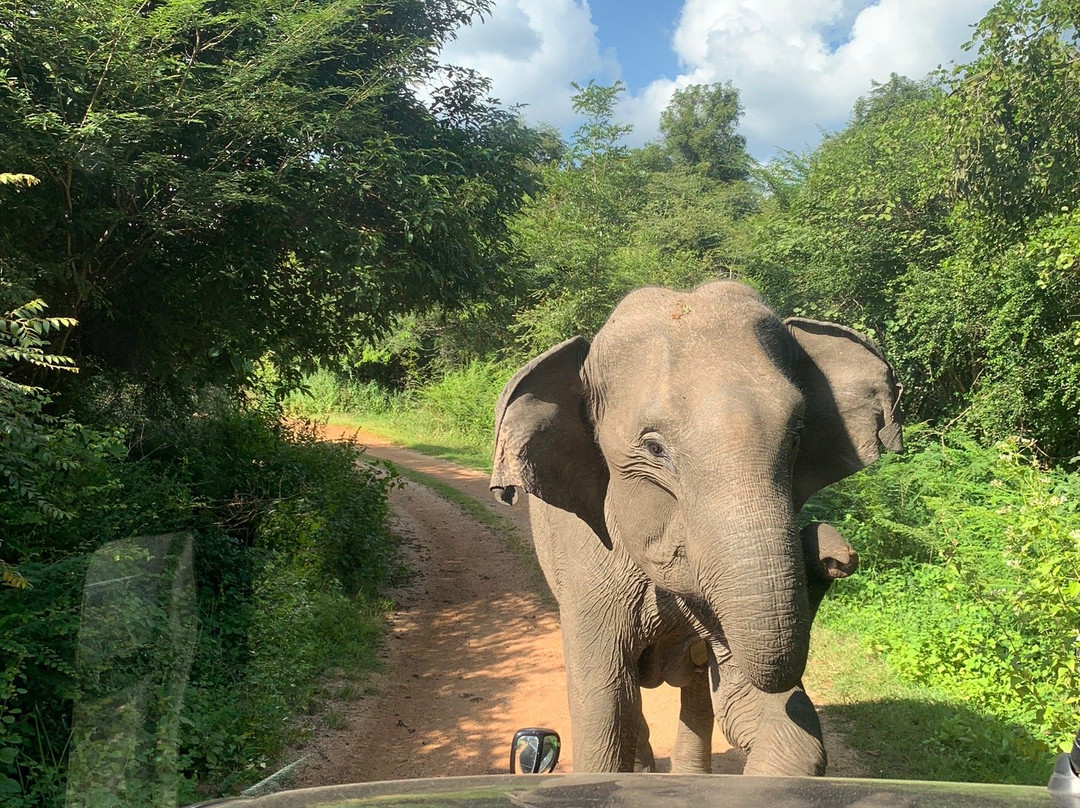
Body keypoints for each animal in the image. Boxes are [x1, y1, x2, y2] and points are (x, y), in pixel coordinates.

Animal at [492, 278, 902, 777]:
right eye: (654, 448)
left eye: (798, 432)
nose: (834, 554)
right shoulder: (587, 560)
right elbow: (604, 711)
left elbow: (760, 715)